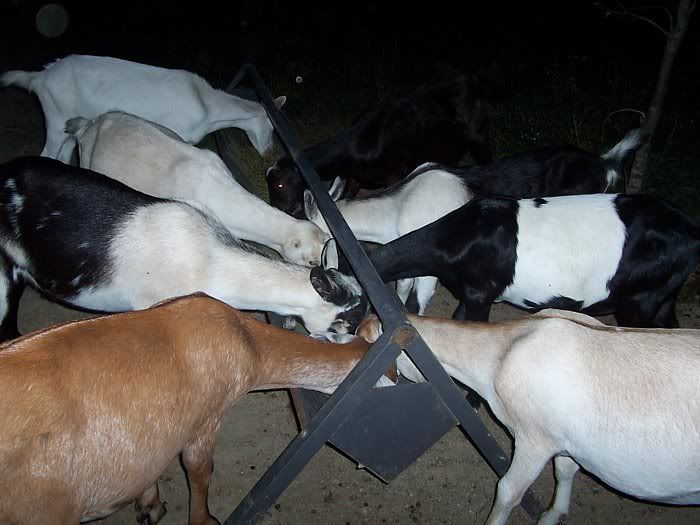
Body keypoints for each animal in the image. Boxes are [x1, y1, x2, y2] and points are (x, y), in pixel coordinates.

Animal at [0, 54, 286, 163]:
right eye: (272, 127)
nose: (268, 152)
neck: (208, 108)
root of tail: (40, 78)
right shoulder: (175, 131)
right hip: (55, 117)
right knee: (47, 153)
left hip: (69, 122)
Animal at [266, 68, 496, 218]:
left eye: (280, 184)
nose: (278, 210)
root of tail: (477, 80)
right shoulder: (354, 177)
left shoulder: (394, 175)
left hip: (480, 137)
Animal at [304, 128, 646, 314]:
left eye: (318, 242)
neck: (398, 207)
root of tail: (603, 164)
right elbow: (400, 289)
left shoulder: (427, 262)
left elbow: (418, 299)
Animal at [335, 192, 699, 328]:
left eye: (349, 314)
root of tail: (690, 229)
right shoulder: (471, 293)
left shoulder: (481, 293)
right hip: (662, 298)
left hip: (639, 303)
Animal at [354, 310, 700, 524]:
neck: (501, 355)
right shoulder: (564, 438)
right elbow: (565, 469)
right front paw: (552, 515)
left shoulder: (535, 438)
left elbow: (508, 491)